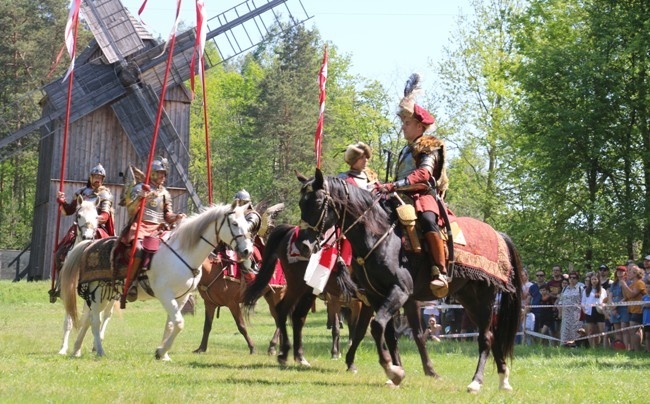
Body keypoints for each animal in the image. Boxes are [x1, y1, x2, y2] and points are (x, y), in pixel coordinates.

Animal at [60, 202, 253, 360]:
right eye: (234, 224)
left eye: (247, 225)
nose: (247, 251)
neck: (183, 254)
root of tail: (89, 245)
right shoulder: (165, 294)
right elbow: (179, 323)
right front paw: (161, 351)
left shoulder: (181, 297)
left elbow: (171, 324)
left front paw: (163, 354)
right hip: (99, 293)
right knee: (94, 321)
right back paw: (99, 351)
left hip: (106, 294)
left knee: (87, 319)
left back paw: (76, 350)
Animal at [294, 169, 520, 392]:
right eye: (301, 203)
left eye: (317, 202)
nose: (303, 246)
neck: (379, 235)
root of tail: (498, 235)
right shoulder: (377, 297)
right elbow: (388, 334)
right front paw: (396, 372)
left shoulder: (399, 292)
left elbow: (376, 327)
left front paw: (392, 370)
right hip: (468, 299)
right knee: (491, 334)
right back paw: (504, 380)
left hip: (484, 298)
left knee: (486, 337)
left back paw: (476, 381)